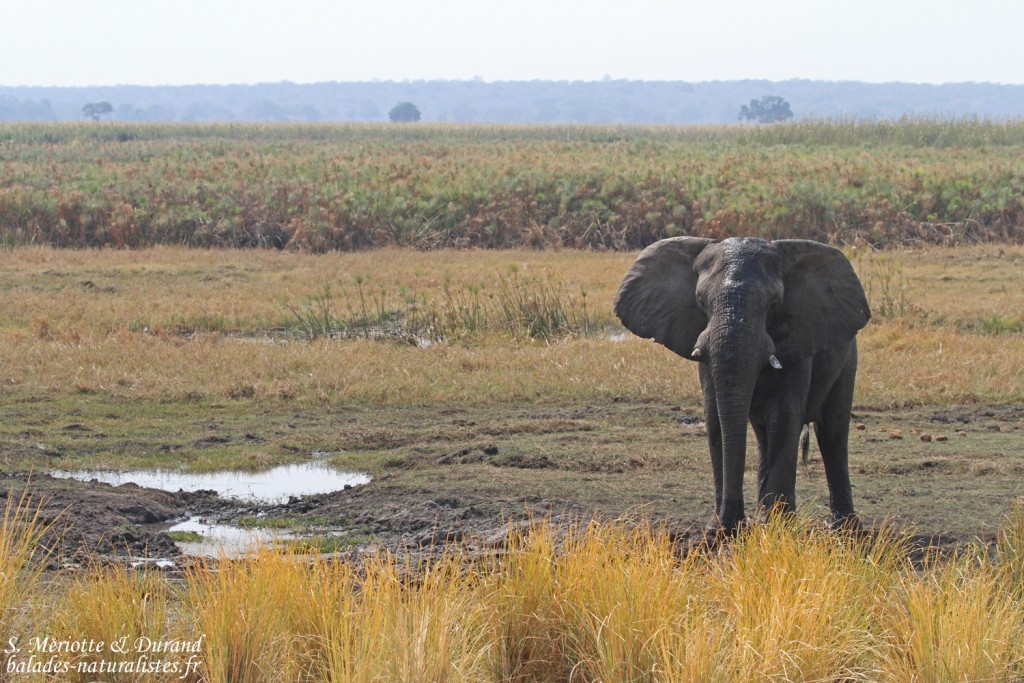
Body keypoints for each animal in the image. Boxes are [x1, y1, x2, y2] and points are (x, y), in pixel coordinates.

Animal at [614, 237, 871, 532]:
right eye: (701, 301)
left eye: (774, 304)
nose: (727, 525)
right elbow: (716, 419)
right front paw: (725, 530)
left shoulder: (798, 340)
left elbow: (784, 418)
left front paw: (780, 529)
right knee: (763, 435)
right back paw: (766, 515)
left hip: (848, 357)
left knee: (832, 432)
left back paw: (844, 527)